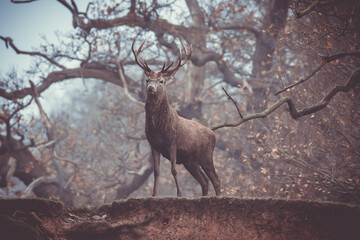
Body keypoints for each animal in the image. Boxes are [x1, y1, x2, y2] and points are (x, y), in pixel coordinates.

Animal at [132, 38, 221, 197]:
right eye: (147, 80)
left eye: (161, 81)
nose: (151, 88)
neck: (158, 127)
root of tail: (213, 134)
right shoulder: (153, 144)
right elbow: (156, 172)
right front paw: (154, 195)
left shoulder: (172, 142)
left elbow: (173, 170)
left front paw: (179, 194)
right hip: (190, 161)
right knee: (204, 181)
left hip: (206, 155)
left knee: (216, 180)